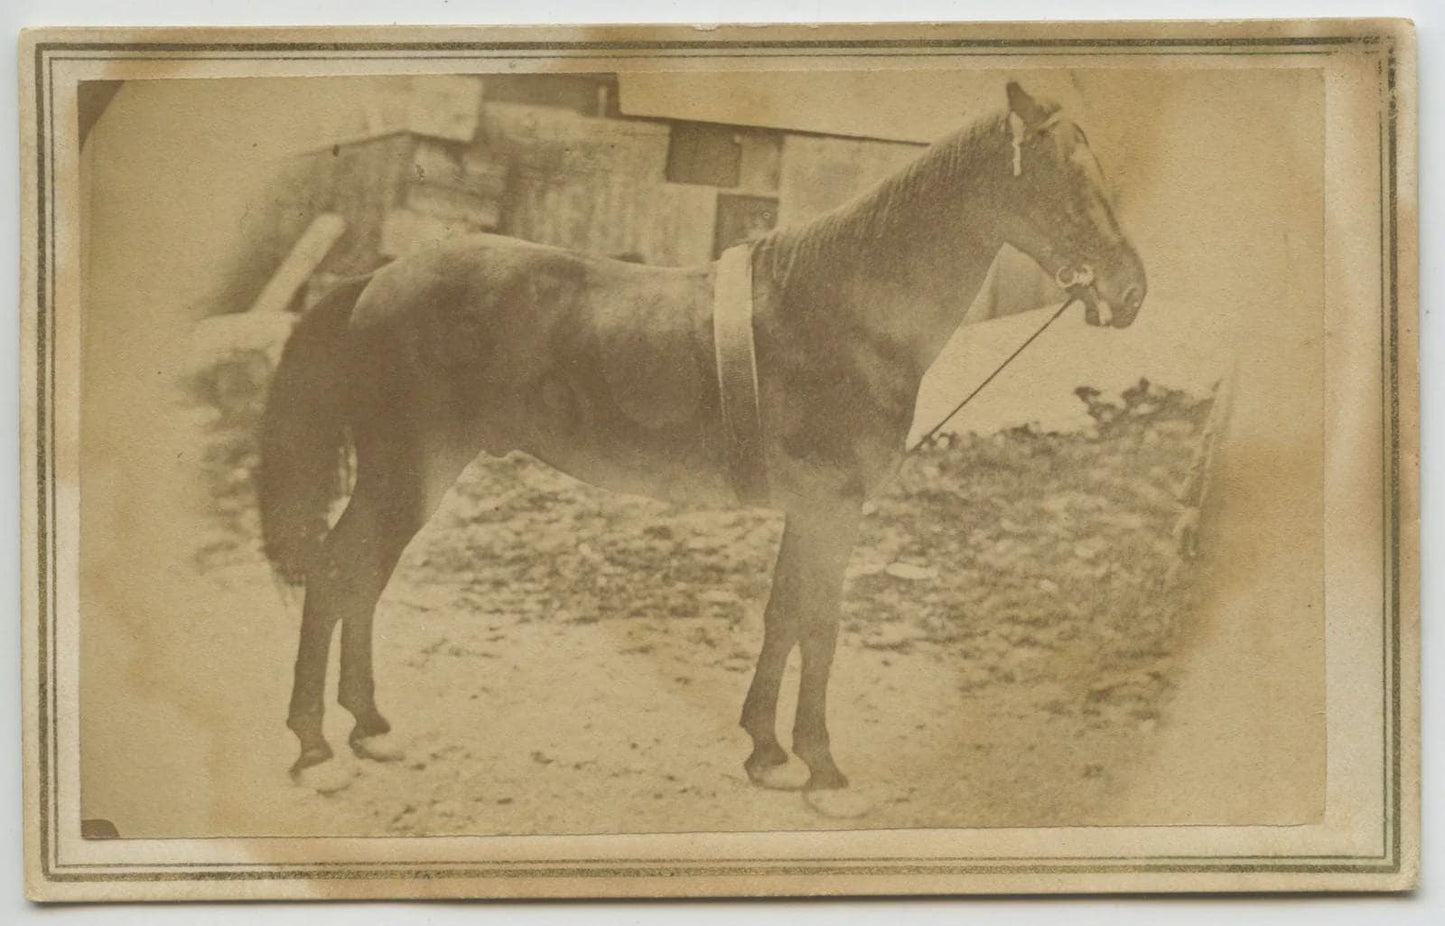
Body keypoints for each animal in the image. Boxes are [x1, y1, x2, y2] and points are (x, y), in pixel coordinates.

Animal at [256, 82, 1146, 807]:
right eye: (1064, 177)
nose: (1130, 290)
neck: (842, 313)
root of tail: (375, 280)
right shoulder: (832, 508)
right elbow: (819, 625)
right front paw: (824, 771)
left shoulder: (808, 511)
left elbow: (782, 615)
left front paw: (767, 753)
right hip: (406, 471)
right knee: (336, 578)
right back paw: (315, 751)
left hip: (415, 476)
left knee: (361, 583)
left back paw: (369, 726)